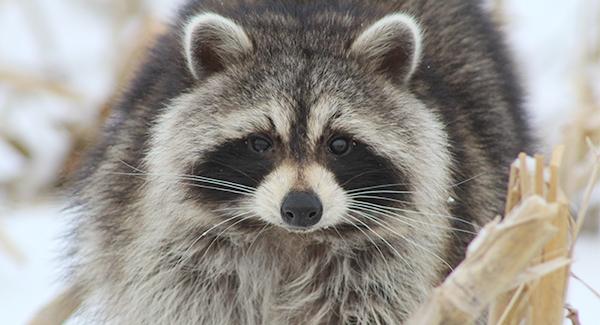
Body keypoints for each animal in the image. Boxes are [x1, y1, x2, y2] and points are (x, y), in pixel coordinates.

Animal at [69, 0, 528, 322]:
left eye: (339, 145)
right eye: (260, 143)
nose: (302, 208)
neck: (290, 239)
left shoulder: (395, 260)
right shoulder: (178, 255)